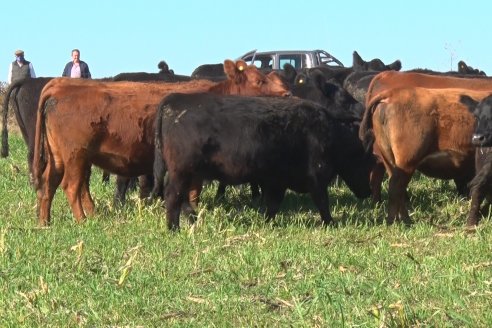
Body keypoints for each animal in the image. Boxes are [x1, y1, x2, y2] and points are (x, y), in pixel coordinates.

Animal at [33, 59, 292, 226]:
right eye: (259, 81)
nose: (288, 95)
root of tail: (62, 85)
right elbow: (193, 193)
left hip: (62, 157)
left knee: (50, 183)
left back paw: (47, 221)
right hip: (76, 155)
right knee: (71, 186)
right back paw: (82, 221)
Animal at [154, 92, 372, 231]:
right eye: (363, 159)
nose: (368, 192)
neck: (331, 133)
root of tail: (175, 99)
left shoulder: (278, 180)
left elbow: (273, 204)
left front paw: (267, 223)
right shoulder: (316, 176)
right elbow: (322, 202)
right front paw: (330, 223)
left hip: (187, 173)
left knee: (181, 197)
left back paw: (192, 219)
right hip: (182, 170)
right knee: (172, 195)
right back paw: (174, 228)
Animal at [360, 86, 490, 226]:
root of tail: (393, 92)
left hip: (390, 160)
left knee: (397, 189)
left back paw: (402, 219)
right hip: (406, 162)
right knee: (396, 188)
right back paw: (397, 221)